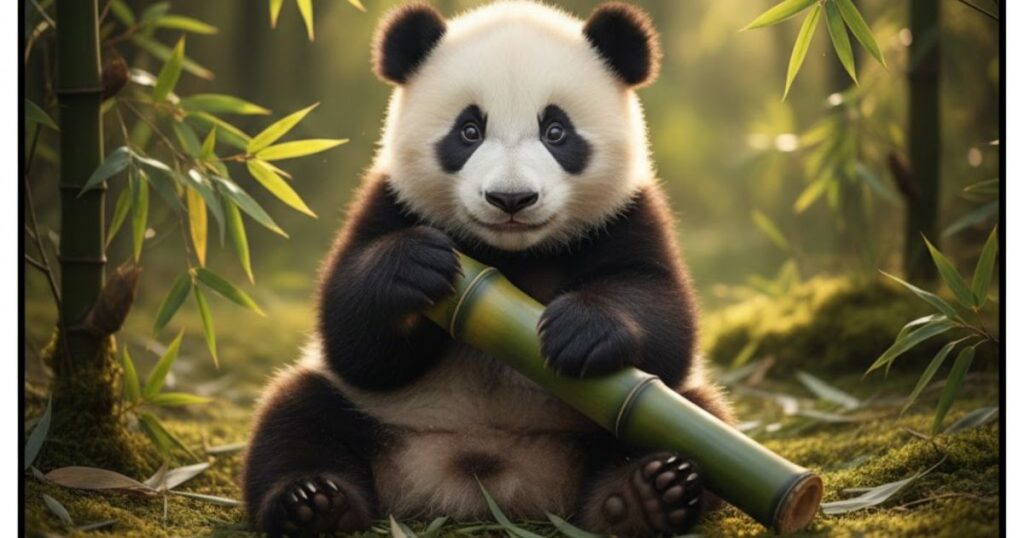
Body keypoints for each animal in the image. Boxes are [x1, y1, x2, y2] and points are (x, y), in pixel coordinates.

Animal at [243, 1, 734, 536]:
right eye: (469, 131)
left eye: (556, 132)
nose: (511, 199)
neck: (511, 254)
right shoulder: (389, 202)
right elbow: (351, 337)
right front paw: (410, 267)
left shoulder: (628, 214)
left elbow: (665, 316)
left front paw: (581, 328)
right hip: (358, 409)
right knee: (297, 418)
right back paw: (314, 503)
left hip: (653, 419)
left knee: (694, 419)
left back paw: (645, 496)